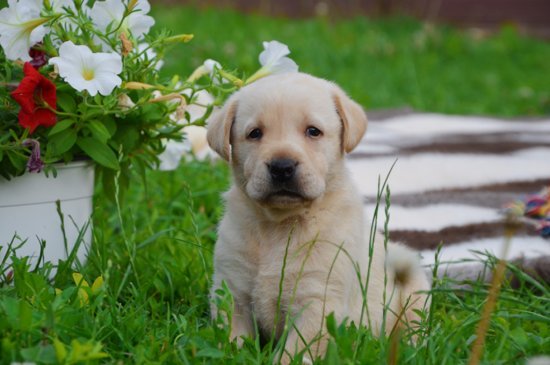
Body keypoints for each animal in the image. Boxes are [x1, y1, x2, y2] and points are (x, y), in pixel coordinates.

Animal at [207, 72, 432, 362]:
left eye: (313, 131)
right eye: (255, 133)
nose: (282, 166)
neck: (280, 225)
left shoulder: (319, 300)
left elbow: (293, 353)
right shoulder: (231, 290)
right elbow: (231, 339)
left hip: (415, 292)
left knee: (413, 329)